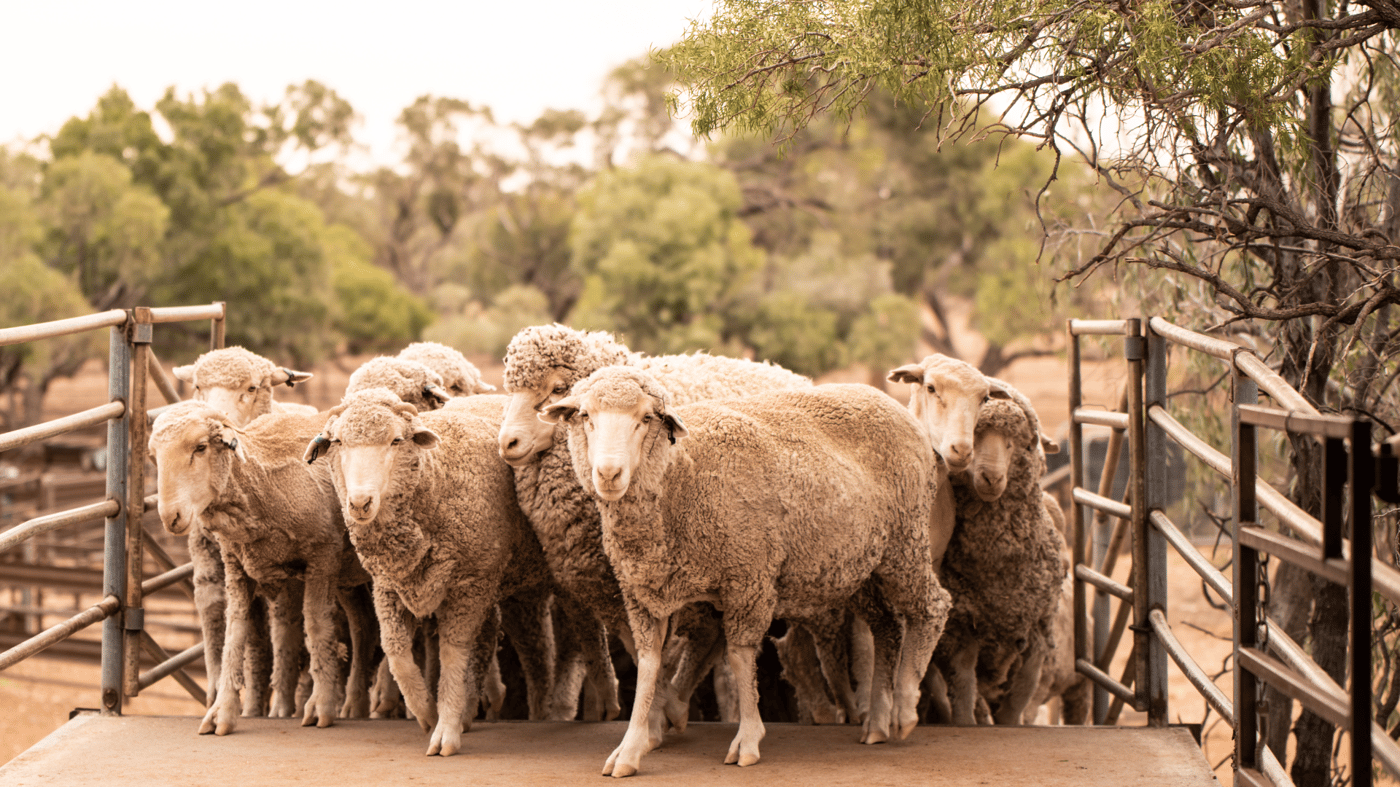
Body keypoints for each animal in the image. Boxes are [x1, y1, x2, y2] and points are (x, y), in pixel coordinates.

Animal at [149, 401, 374, 735]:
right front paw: (222, 712)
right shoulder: (236, 566)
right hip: (348, 575)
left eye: (200, 447)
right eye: (154, 455)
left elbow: (317, 626)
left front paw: (320, 705)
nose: (170, 517)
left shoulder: (323, 557)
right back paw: (356, 701)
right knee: (362, 625)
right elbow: (234, 632)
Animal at [303, 389, 563, 756]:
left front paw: (445, 730)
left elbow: (452, 656)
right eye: (338, 441)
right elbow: (396, 653)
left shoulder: (469, 587)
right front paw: (428, 713)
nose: (360, 503)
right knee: (487, 642)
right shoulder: (388, 587)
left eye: (396, 440)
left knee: (539, 651)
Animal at [495, 323, 817, 732]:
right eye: (510, 389)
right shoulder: (610, 586)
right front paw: (651, 714)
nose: (508, 442)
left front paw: (656, 719)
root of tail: (787, 372)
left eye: (556, 389)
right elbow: (639, 652)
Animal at [540, 368, 951, 776]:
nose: (609, 473)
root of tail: (892, 404)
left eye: (645, 419)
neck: (681, 476)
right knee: (887, 626)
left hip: (905, 541)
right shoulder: (643, 593)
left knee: (933, 607)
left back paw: (904, 707)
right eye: (586, 416)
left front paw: (748, 739)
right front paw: (630, 749)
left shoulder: (749, 579)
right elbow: (649, 666)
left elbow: (739, 658)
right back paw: (878, 721)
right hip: (859, 565)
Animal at [932, 392, 1067, 727]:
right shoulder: (962, 626)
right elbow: (963, 687)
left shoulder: (1036, 628)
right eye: (974, 436)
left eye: (1017, 443)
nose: (991, 477)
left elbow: (1019, 696)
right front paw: (965, 721)